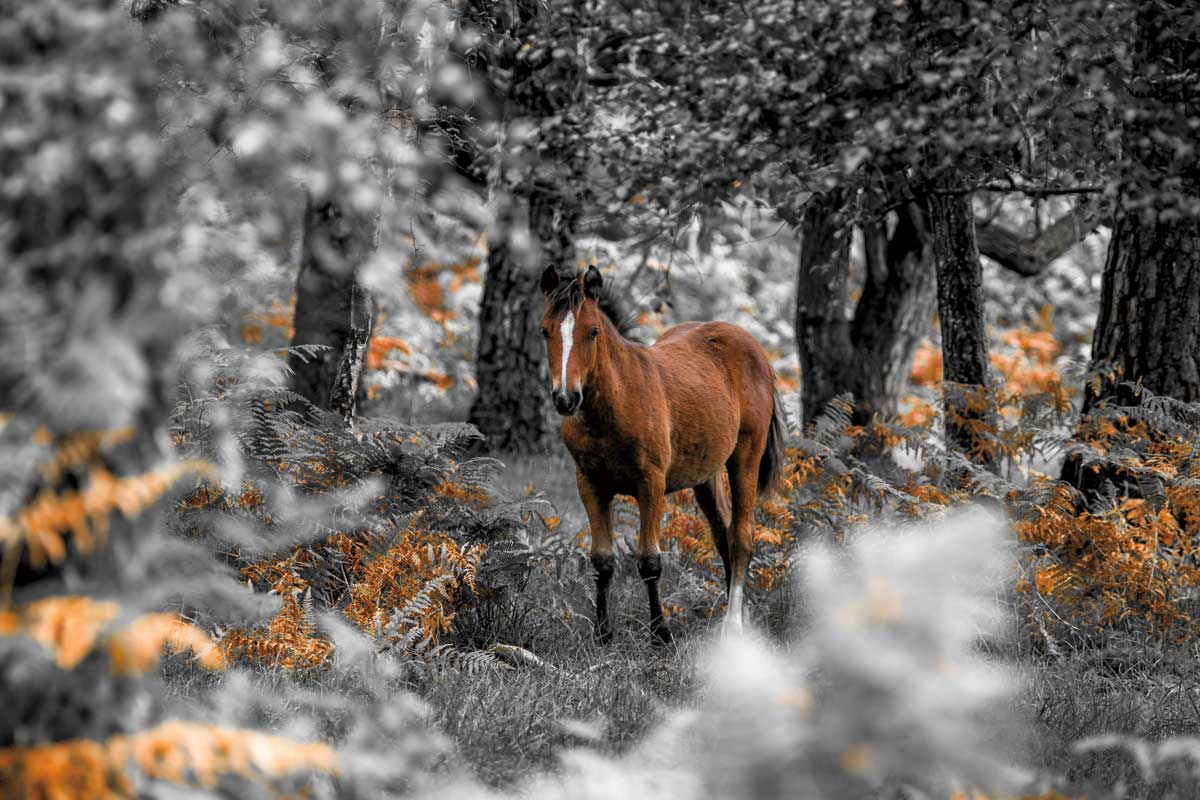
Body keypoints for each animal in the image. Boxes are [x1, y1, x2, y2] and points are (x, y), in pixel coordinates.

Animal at [539, 265, 786, 643]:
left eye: (593, 331)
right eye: (545, 331)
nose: (566, 398)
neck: (614, 404)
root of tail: (755, 350)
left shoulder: (651, 485)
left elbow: (649, 561)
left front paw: (660, 633)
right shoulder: (590, 484)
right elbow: (602, 560)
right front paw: (603, 634)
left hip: (746, 456)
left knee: (742, 537)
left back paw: (733, 624)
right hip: (706, 476)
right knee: (723, 534)